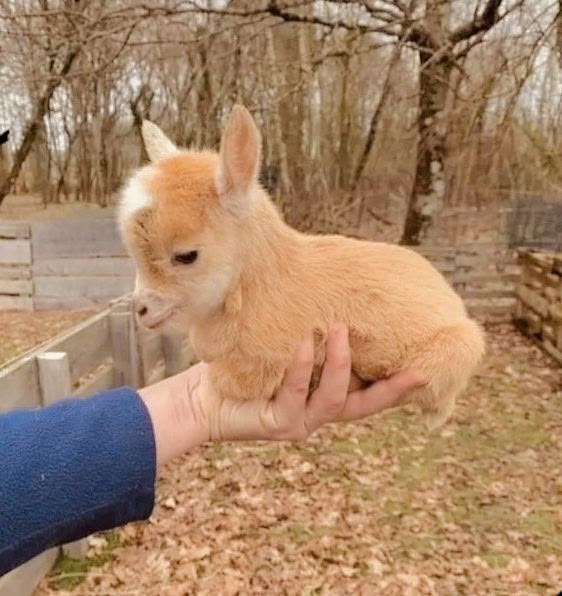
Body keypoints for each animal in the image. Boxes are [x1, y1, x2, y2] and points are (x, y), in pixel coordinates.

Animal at [117, 105, 482, 426]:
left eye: (186, 255)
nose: (141, 310)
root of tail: (453, 301)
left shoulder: (264, 363)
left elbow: (230, 381)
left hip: (456, 349)